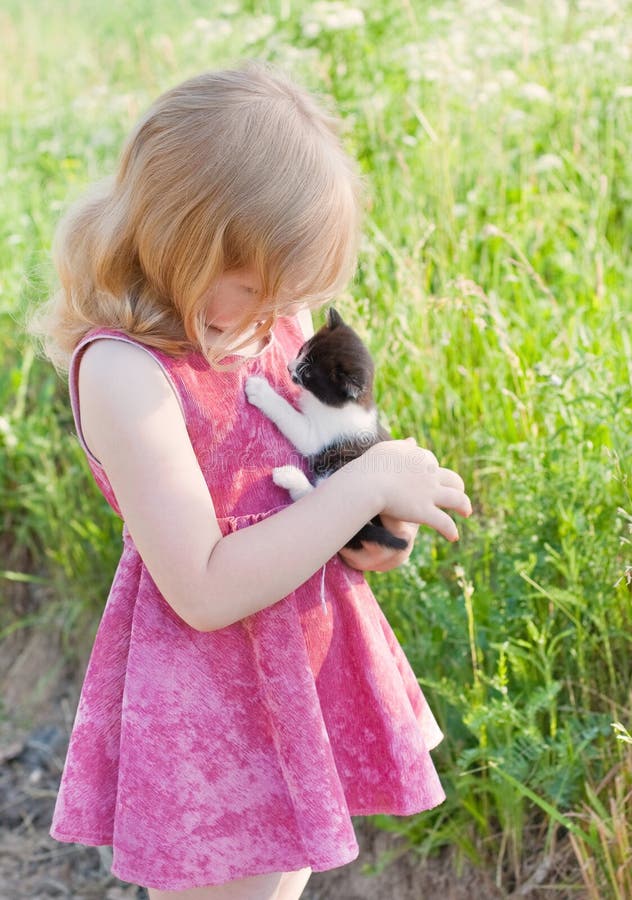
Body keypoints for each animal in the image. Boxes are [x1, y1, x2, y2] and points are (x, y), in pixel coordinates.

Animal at [244, 306, 408, 552]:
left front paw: (260, 390)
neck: (347, 405)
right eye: (301, 350)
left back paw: (289, 477)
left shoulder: (319, 435)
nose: (288, 367)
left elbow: (290, 417)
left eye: (307, 373)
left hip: (342, 471)